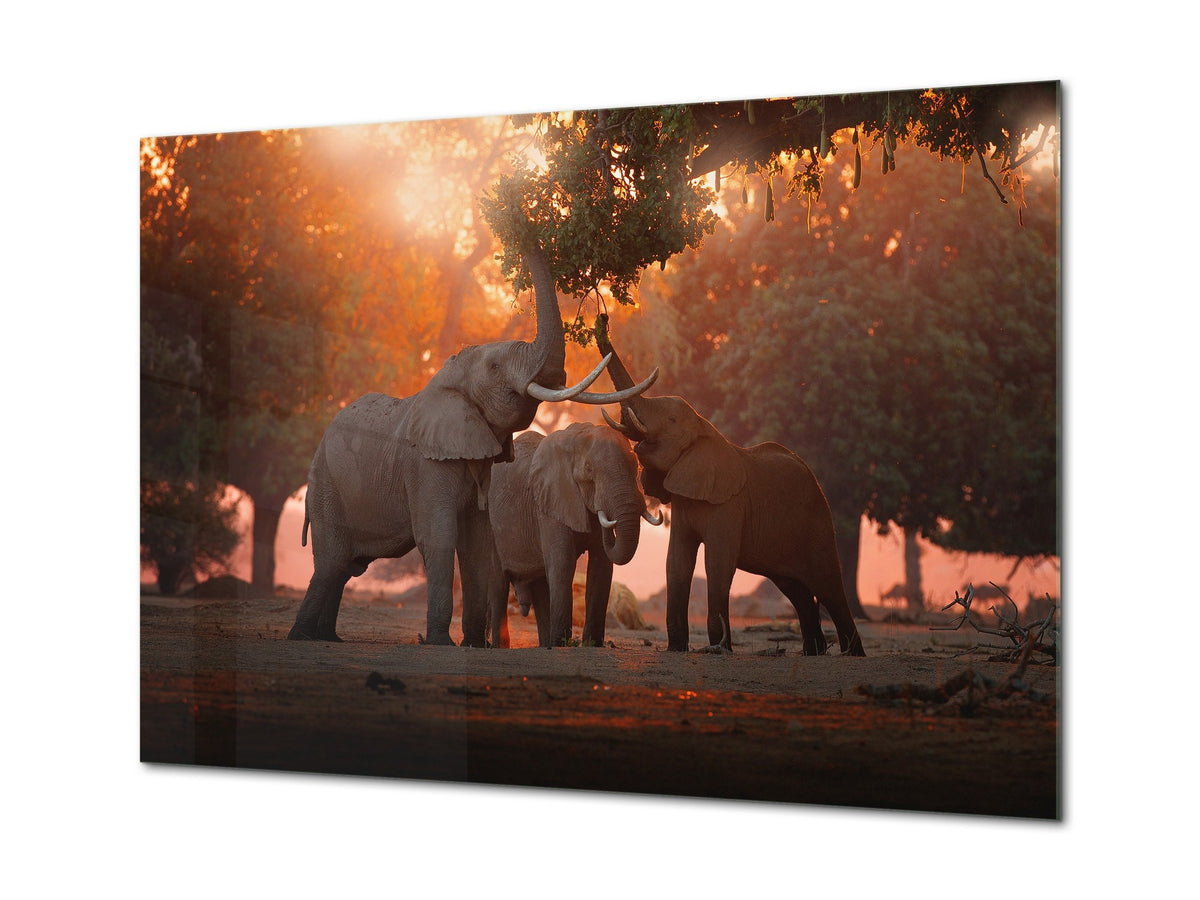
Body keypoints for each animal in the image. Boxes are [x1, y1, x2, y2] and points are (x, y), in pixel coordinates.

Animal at [485, 423, 662, 648]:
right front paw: (563, 644)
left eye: (636, 467)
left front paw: (592, 645)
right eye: (589, 470)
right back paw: (506, 646)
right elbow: (563, 563)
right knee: (499, 583)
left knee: (540, 585)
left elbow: (601, 567)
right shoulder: (550, 503)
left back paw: (546, 644)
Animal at [594, 317, 865, 657]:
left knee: (829, 588)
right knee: (797, 591)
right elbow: (677, 562)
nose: (603, 321)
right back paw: (813, 653)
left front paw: (718, 648)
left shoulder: (728, 505)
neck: (705, 428)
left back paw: (853, 653)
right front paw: (677, 649)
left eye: (671, 420)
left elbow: (717, 562)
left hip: (818, 522)